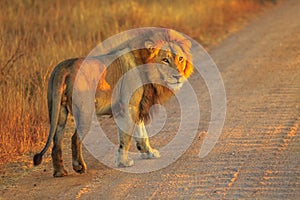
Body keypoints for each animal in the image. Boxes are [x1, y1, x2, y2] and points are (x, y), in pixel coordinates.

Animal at [32, 28, 192, 177]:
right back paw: (79, 167)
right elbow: (126, 137)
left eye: (180, 59)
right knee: (74, 138)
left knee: (56, 141)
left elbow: (141, 133)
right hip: (85, 111)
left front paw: (149, 152)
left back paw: (60, 172)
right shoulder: (128, 106)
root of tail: (65, 67)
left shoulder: (137, 105)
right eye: (165, 59)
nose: (178, 76)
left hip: (58, 111)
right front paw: (124, 162)